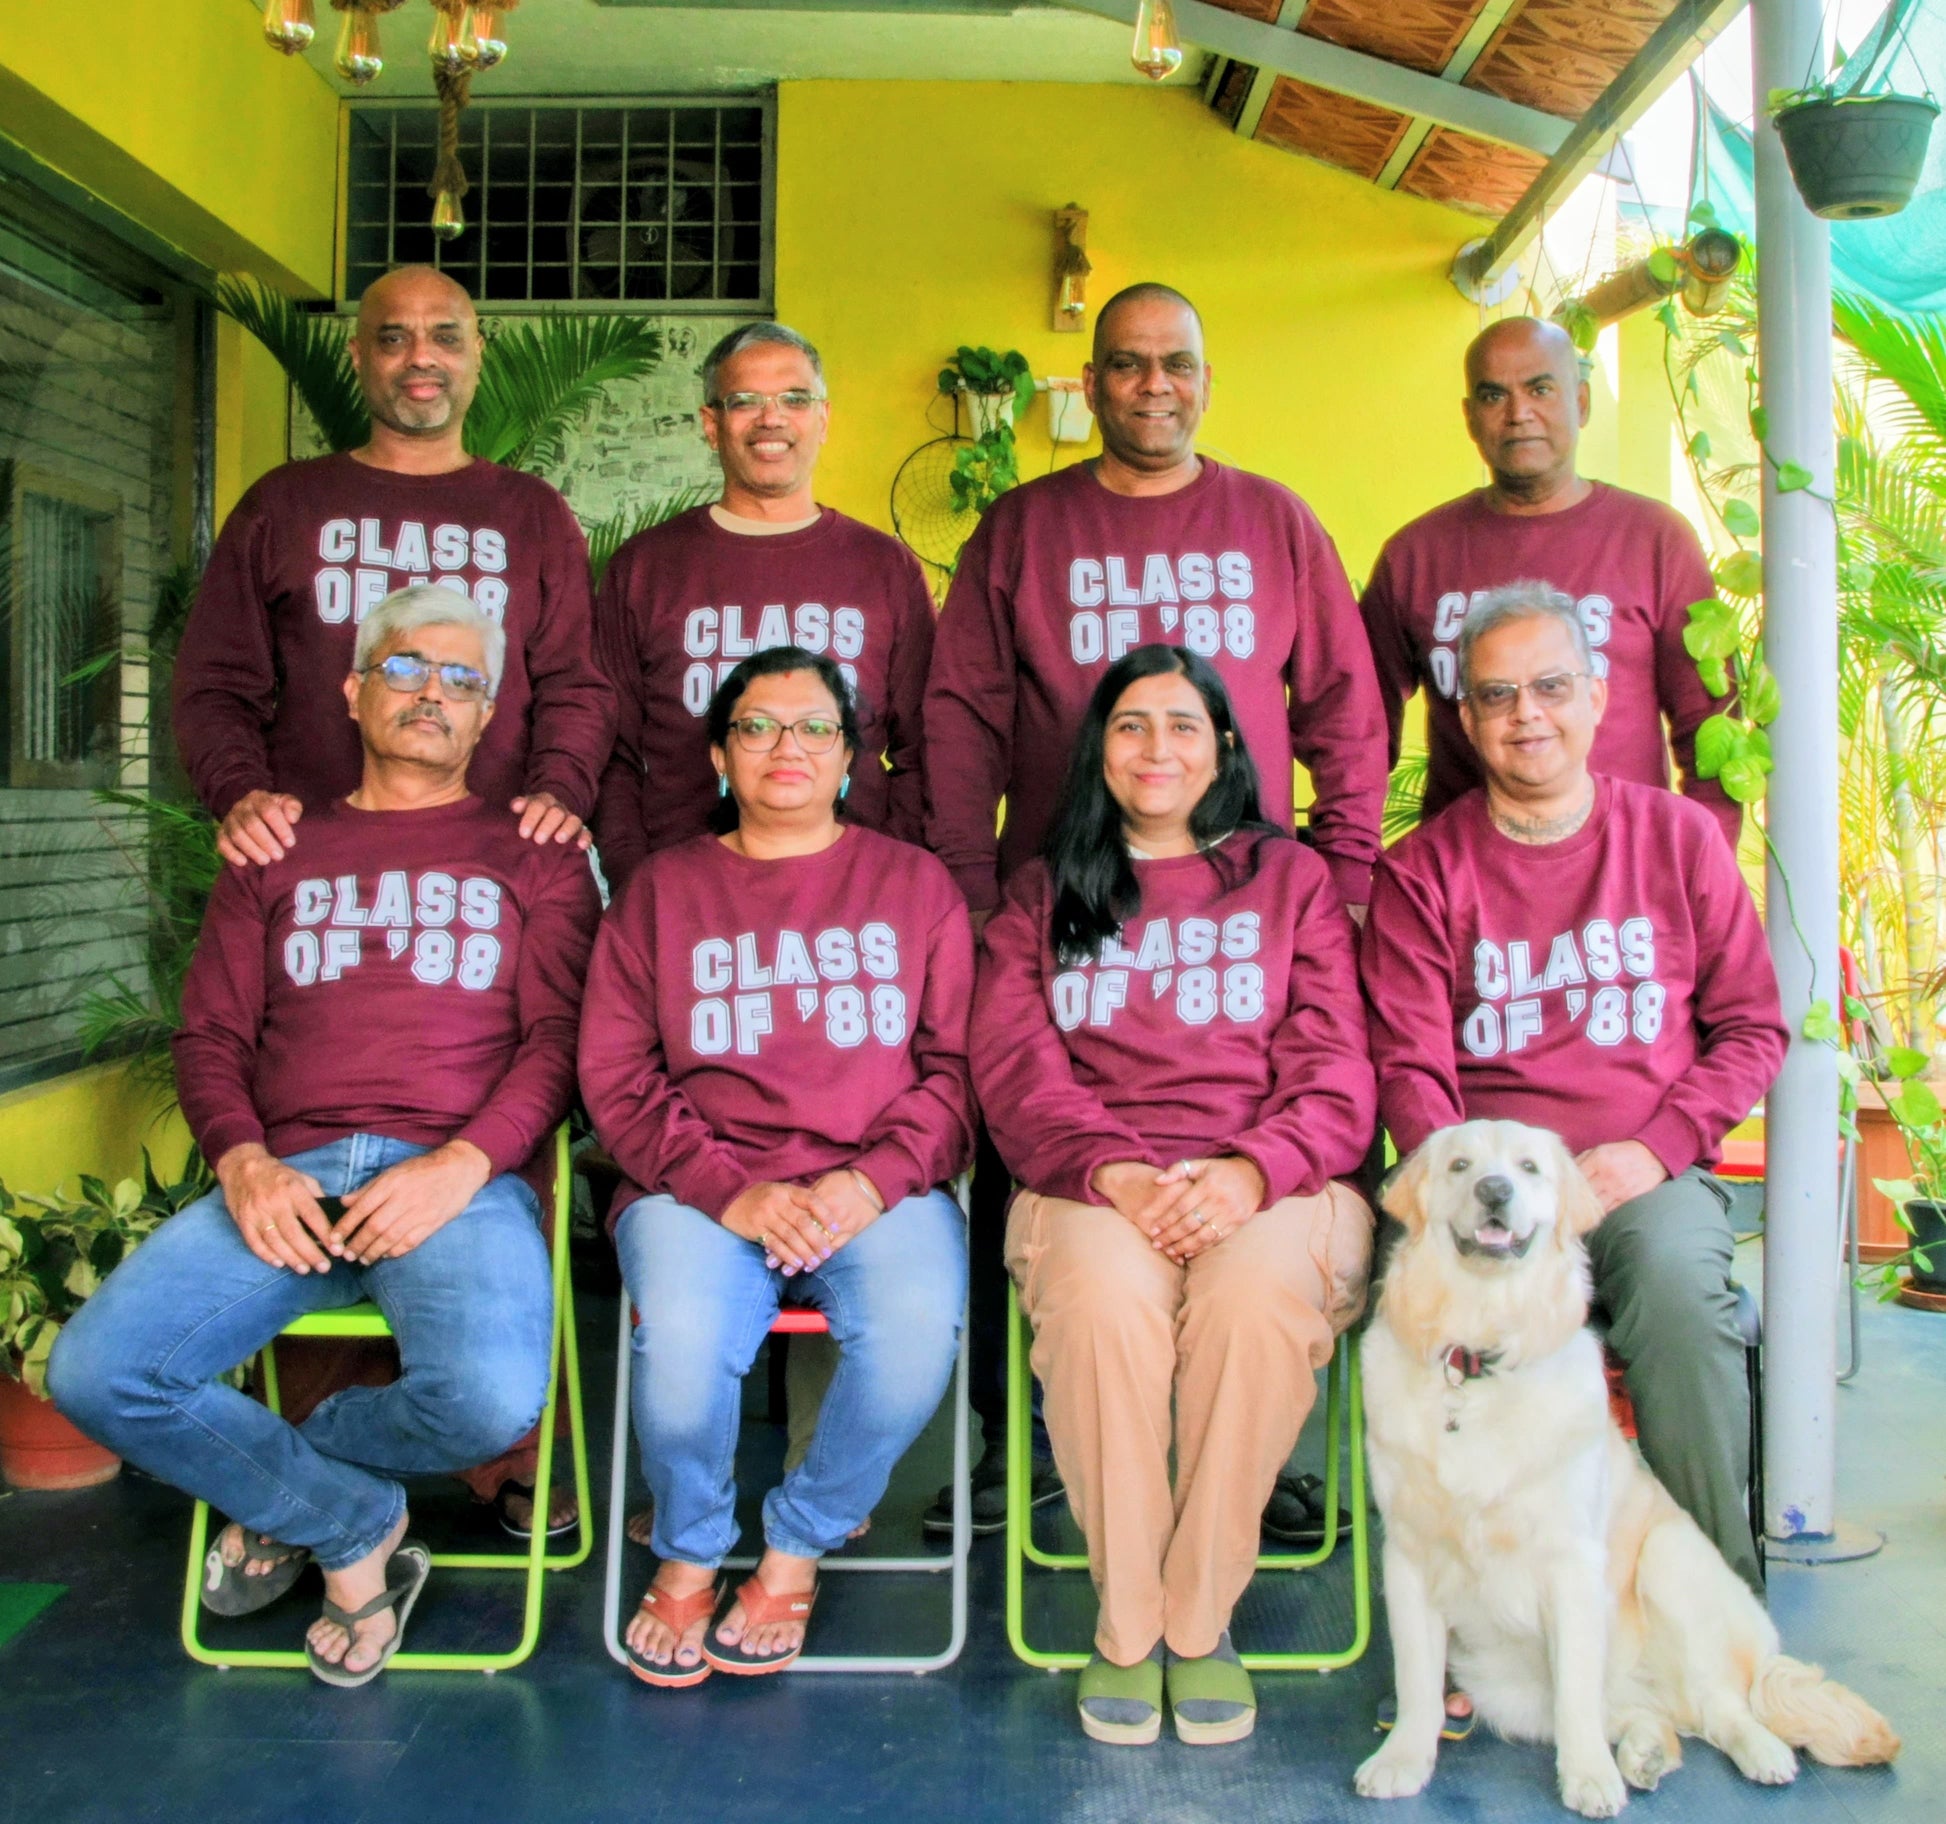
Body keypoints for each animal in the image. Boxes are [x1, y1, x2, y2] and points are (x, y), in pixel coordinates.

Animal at [1354, 1119, 1898, 1817]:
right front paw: (1402, 1760)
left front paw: (1588, 1776)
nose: (1495, 1190)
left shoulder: (1573, 1564)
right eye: (1460, 1166)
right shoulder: (1409, 1556)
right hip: (1509, 1684)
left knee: (1724, 1704)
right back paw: (1646, 1752)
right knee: (1658, 1715)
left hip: (1673, 1561)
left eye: (1528, 1168)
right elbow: (1417, 1681)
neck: (1478, 1351)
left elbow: (1576, 1694)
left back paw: (1760, 1752)